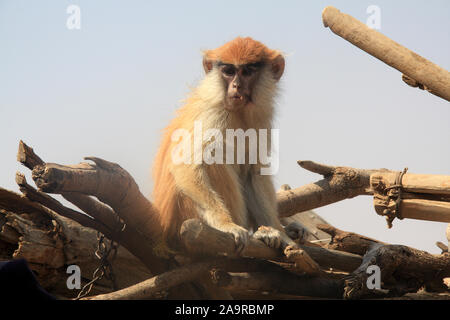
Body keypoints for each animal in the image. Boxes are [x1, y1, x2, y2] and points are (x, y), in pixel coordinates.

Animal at [155, 37, 296, 251]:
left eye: (247, 71)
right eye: (229, 71)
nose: (236, 86)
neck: (238, 111)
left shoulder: (261, 117)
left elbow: (254, 172)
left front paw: (280, 233)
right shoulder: (213, 113)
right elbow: (186, 165)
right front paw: (225, 224)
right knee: (214, 158)